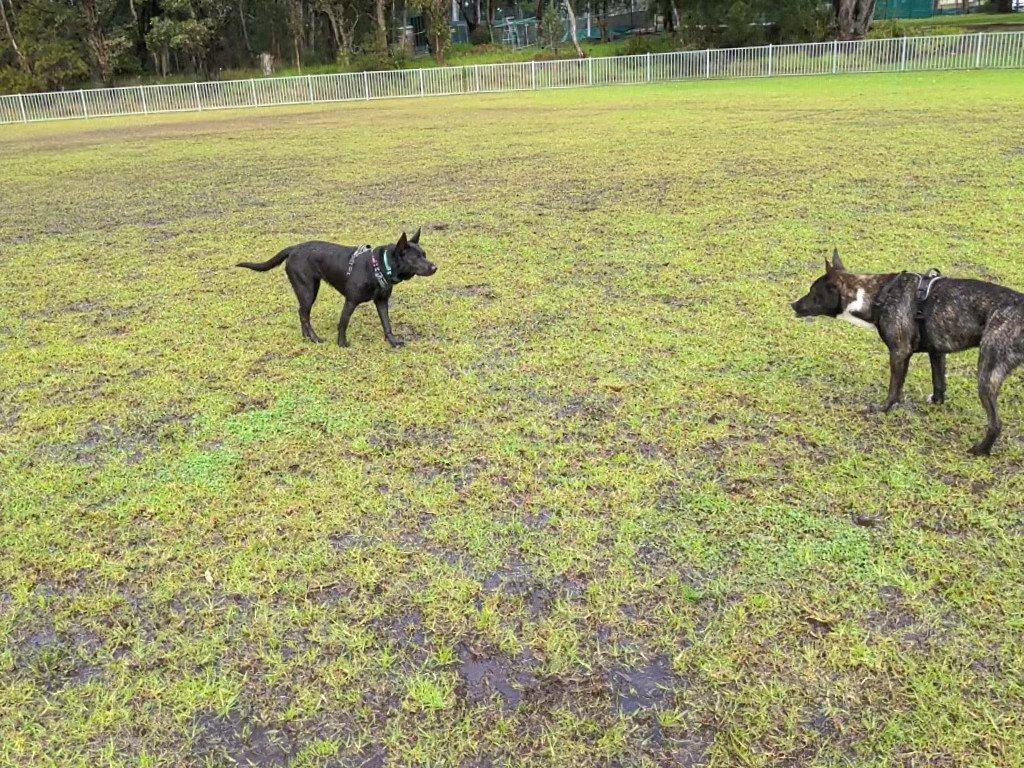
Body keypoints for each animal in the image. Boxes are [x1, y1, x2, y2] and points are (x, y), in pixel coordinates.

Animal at [237, 229, 436, 348]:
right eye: (416, 258)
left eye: (424, 254)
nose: (435, 267)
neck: (379, 266)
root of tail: (293, 249)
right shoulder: (350, 301)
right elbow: (343, 323)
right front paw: (342, 344)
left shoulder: (381, 301)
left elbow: (387, 324)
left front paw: (393, 342)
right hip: (308, 290)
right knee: (304, 314)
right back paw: (315, 338)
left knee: (302, 313)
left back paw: (306, 337)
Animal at [791, 249, 1024, 455]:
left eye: (812, 292)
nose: (792, 304)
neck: (876, 296)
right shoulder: (936, 351)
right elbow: (939, 381)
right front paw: (936, 401)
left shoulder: (899, 352)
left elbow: (895, 388)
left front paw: (883, 409)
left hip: (987, 373)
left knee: (996, 423)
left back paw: (980, 451)